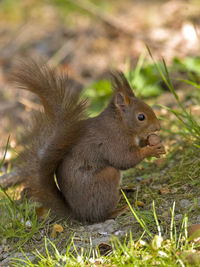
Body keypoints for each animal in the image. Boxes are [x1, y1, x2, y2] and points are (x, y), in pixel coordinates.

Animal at [9, 59, 166, 223]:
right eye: (141, 117)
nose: (158, 127)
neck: (120, 123)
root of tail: (78, 213)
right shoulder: (112, 140)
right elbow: (124, 159)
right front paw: (150, 150)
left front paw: (154, 144)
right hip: (107, 179)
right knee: (101, 214)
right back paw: (118, 210)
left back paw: (124, 191)